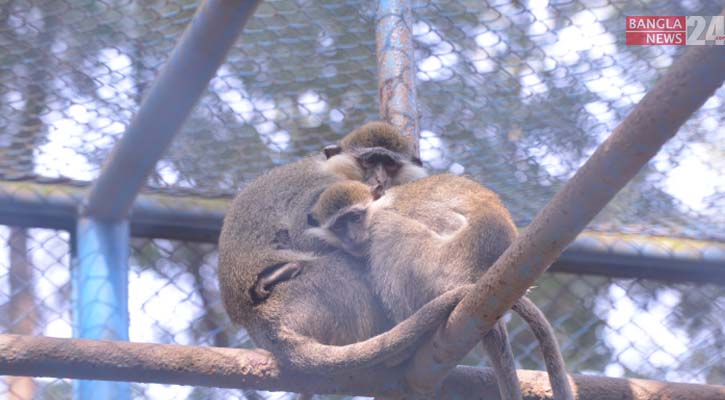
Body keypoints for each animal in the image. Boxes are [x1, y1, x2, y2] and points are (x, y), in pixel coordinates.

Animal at [218, 157, 472, 378]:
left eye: (390, 165)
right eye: (369, 161)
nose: (379, 179)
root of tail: (258, 320)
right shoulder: (320, 190)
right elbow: (303, 236)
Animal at [308, 176, 576, 400]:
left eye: (355, 217)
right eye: (339, 226)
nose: (351, 237)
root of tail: (474, 275)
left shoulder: (395, 211)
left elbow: (444, 221)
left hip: (433, 267)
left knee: (388, 228)